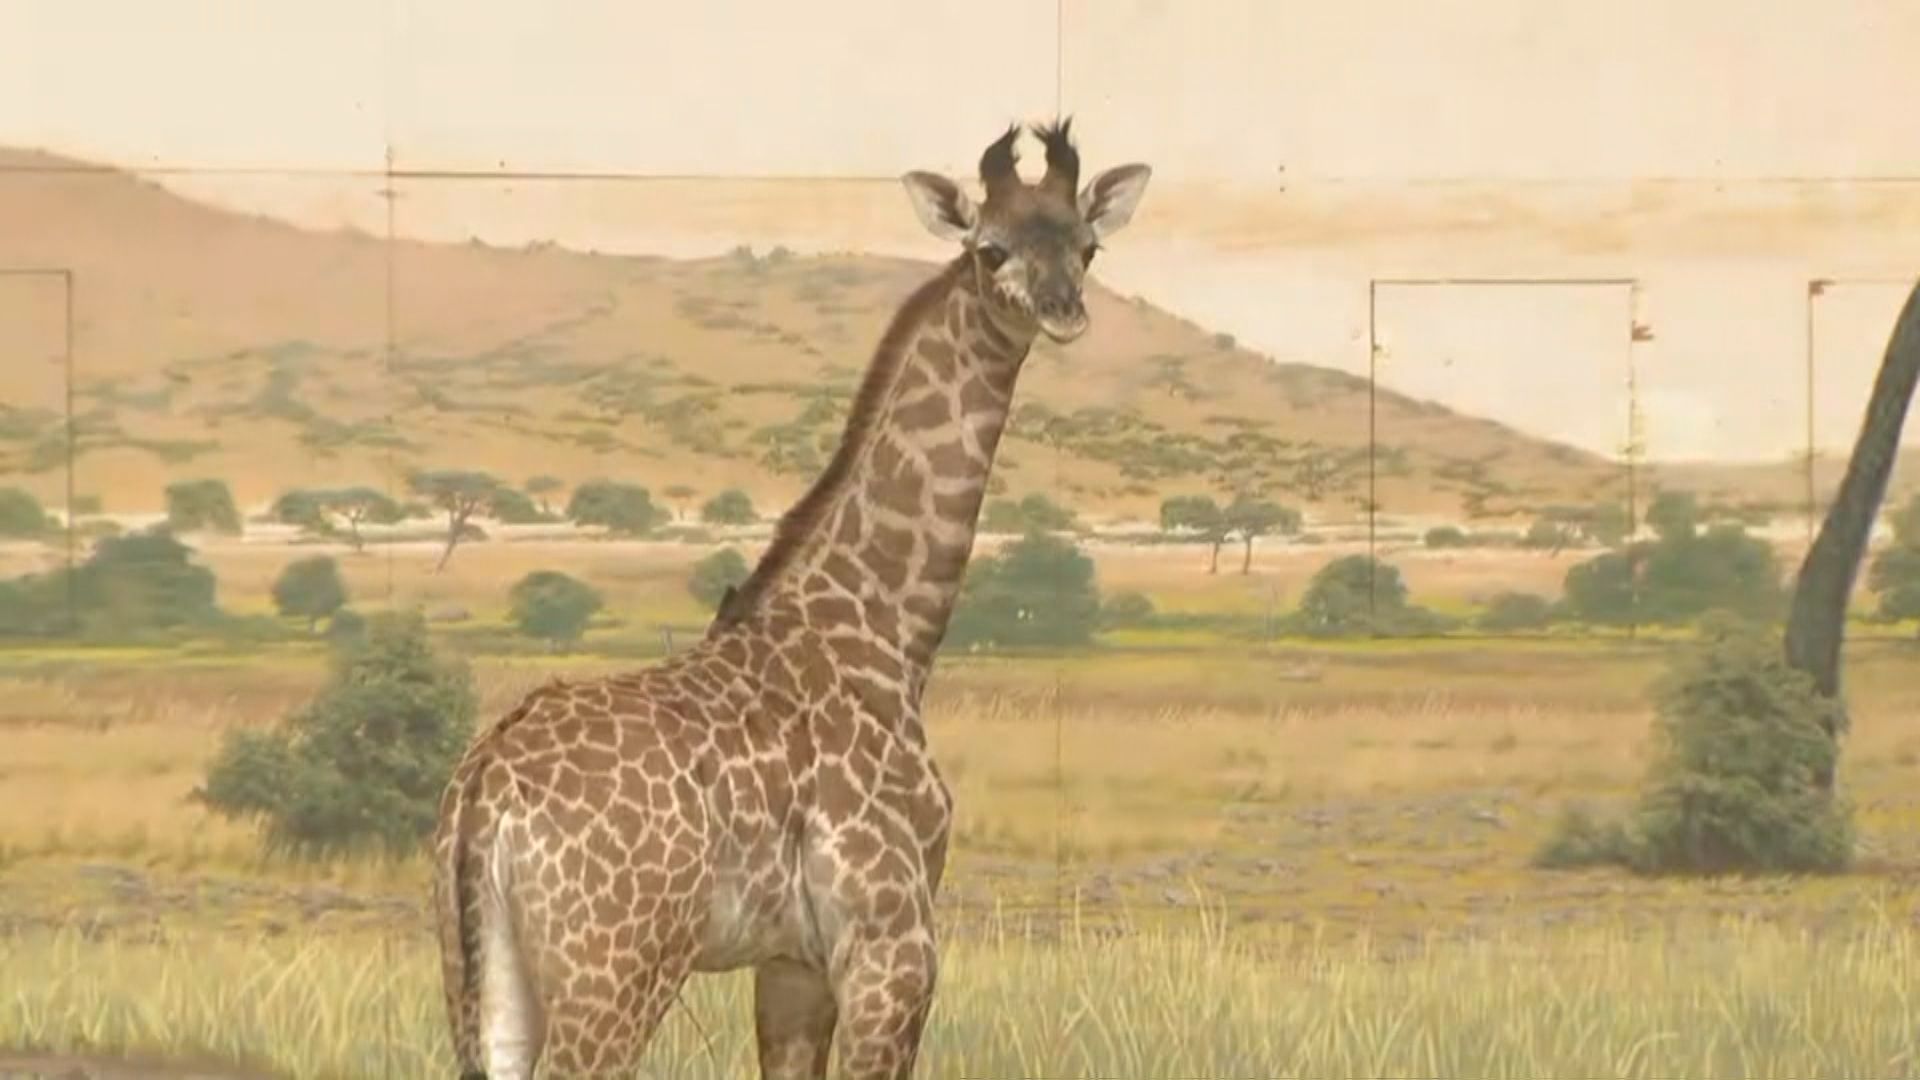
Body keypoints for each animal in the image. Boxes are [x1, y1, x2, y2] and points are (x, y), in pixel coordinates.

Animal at [431, 119, 1152, 1079]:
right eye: (989, 248)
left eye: (1087, 246)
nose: (1064, 308)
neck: (887, 630)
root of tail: (484, 792)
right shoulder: (891, 946)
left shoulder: (791, 963)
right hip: (617, 970)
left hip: (483, 971)